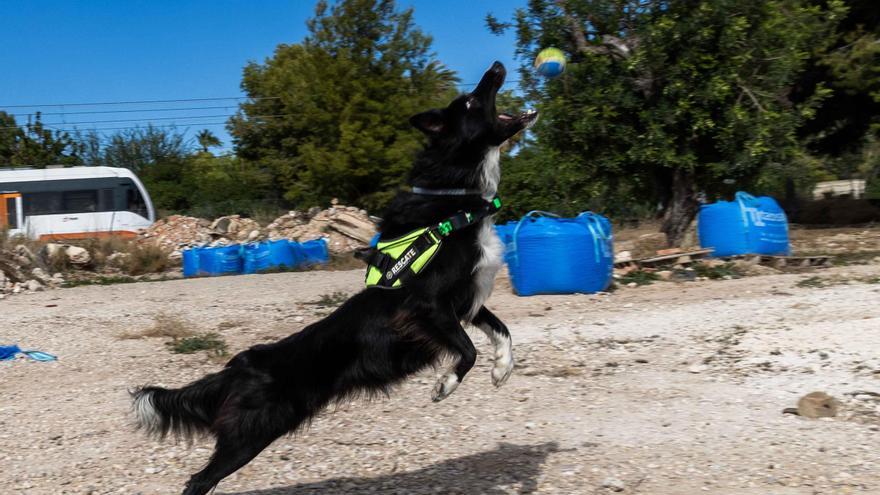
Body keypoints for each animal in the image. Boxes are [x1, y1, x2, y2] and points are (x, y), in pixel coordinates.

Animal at [134, 62, 536, 495]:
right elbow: (467, 350)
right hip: (251, 433)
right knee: (198, 480)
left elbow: (502, 331)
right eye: (472, 102)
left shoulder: (465, 301)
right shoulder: (425, 305)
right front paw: (445, 385)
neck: (454, 203)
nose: (496, 67)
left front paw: (502, 369)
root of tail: (239, 367)